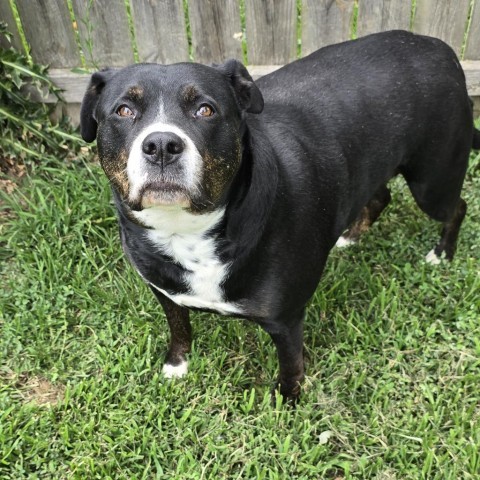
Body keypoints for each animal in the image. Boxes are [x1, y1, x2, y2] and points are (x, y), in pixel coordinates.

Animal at [81, 30, 480, 402]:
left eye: (206, 110)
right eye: (123, 110)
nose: (162, 145)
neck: (188, 232)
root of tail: (438, 47)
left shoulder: (285, 319)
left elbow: (291, 365)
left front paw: (287, 401)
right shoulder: (164, 290)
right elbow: (179, 326)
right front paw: (177, 365)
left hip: (433, 180)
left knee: (456, 207)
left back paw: (442, 253)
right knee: (380, 195)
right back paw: (350, 236)